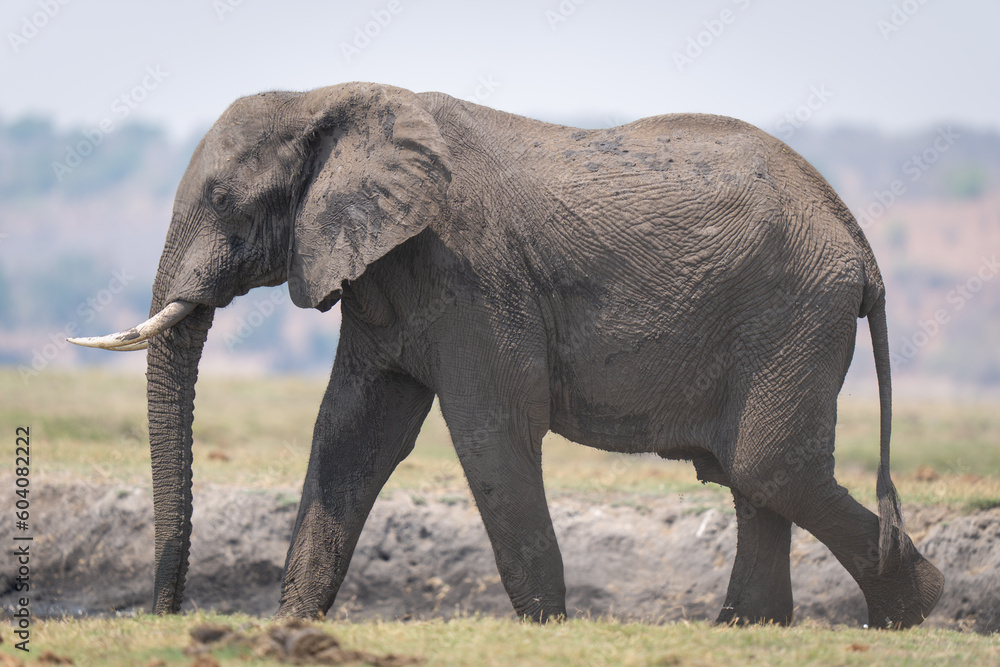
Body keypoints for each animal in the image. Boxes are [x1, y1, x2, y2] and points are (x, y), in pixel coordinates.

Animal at [70, 82, 944, 628]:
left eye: (223, 200)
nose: (166, 612)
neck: (329, 99)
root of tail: (856, 238)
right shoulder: (385, 278)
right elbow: (352, 436)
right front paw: (291, 626)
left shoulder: (470, 275)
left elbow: (491, 436)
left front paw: (550, 629)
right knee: (750, 478)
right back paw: (747, 631)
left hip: (793, 313)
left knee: (768, 468)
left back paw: (916, 611)